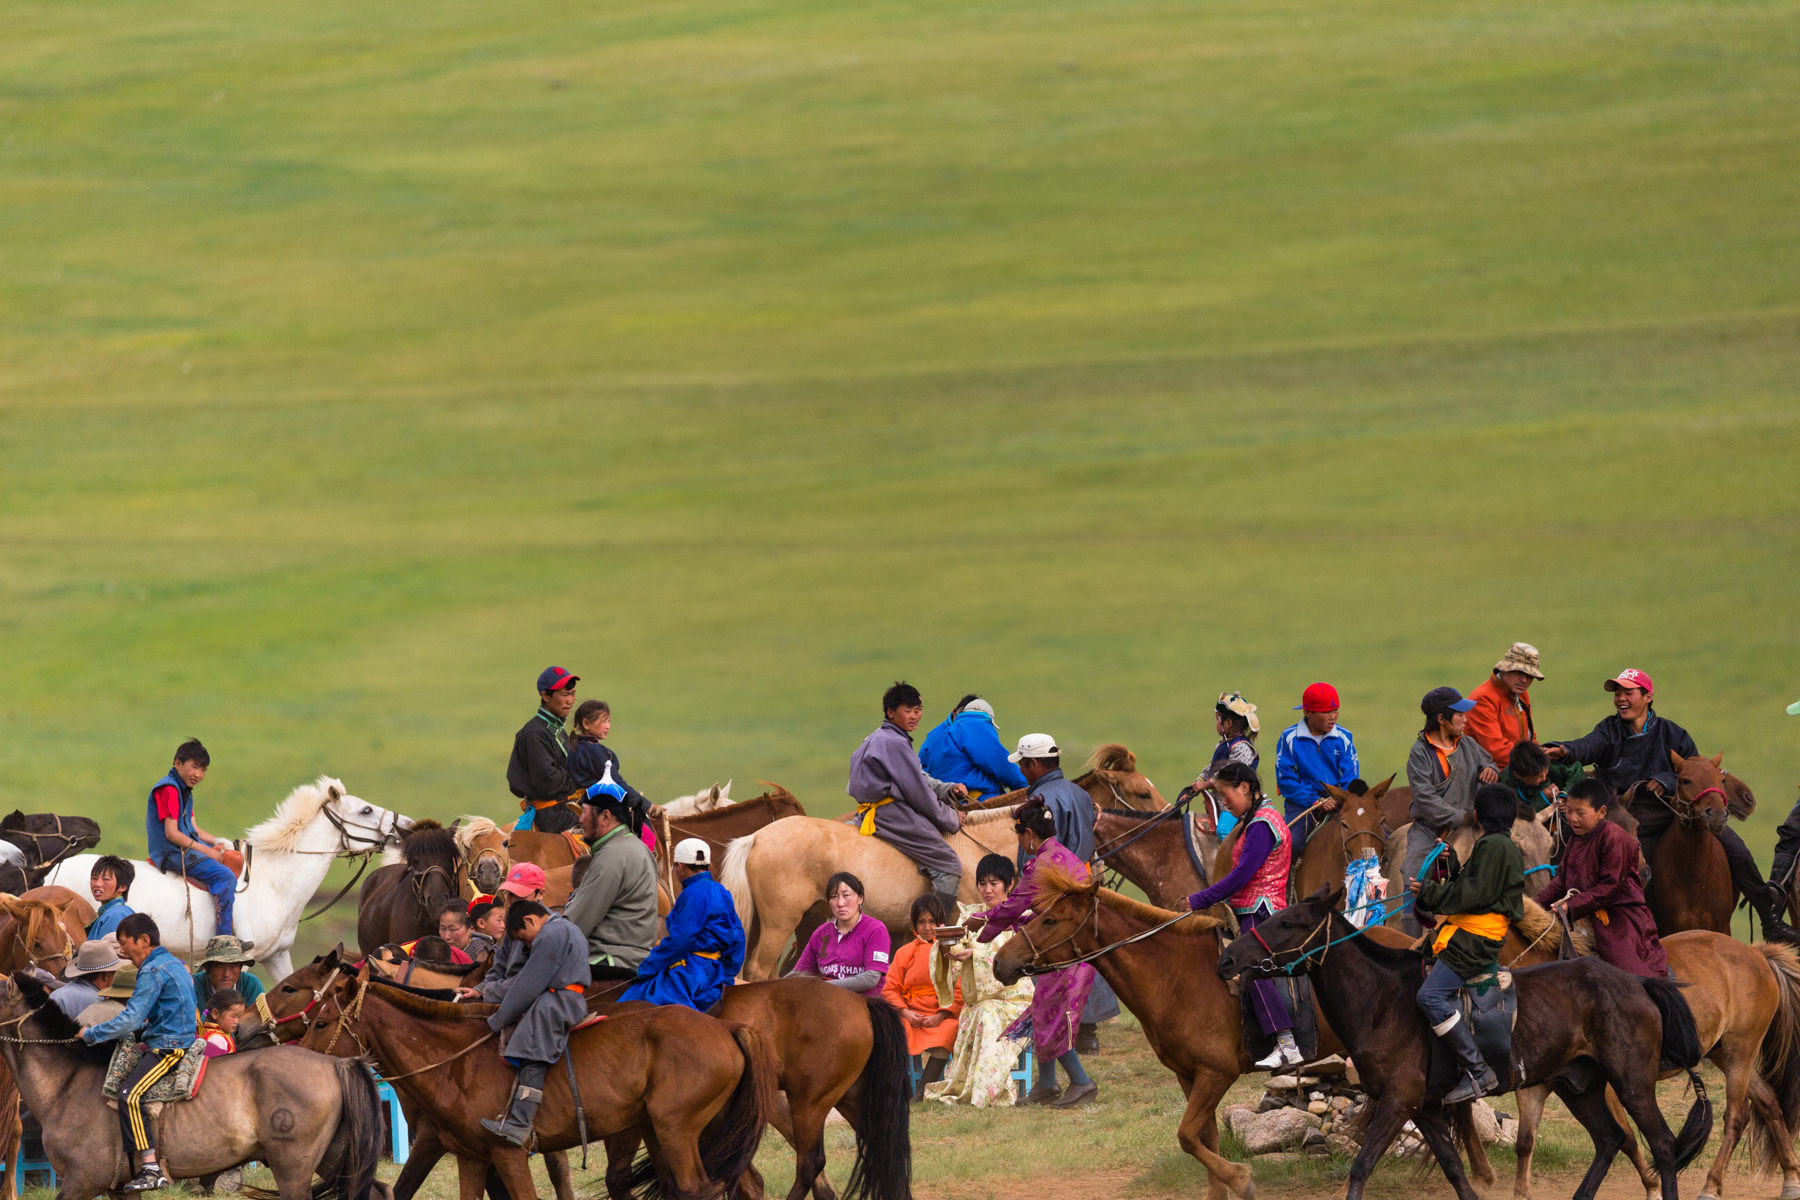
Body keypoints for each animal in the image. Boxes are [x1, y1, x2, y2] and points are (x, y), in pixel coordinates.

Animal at [0, 972, 383, 1200]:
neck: (67, 1083)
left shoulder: (82, 1181)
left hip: (293, 1170)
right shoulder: (121, 1188)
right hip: (335, 1159)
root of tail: (336, 1065)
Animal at [297, 968, 777, 1200]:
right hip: (685, 1133)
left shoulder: (509, 1156)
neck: (457, 1062)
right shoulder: (472, 1159)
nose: (298, 1062)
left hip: (679, 1132)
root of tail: (726, 1028)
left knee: (701, 1190)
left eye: (321, 1022)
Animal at [988, 866, 1495, 1200]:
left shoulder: (1216, 1074)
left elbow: (1188, 1137)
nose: (1001, 962)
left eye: (1050, 920)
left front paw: (1241, 1179)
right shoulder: (1189, 1077)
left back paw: (1483, 1172)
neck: (1174, 975)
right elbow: (1203, 1140)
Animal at [1217, 886, 1711, 1200]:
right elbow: (1456, 1173)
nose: (1227, 960)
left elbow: (1361, 1168)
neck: (1382, 1000)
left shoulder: (1397, 1103)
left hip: (1631, 1083)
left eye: (1288, 922)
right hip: (1578, 1085)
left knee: (1662, 1146)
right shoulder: (1425, 1108)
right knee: (1610, 1139)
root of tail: (1637, 983)